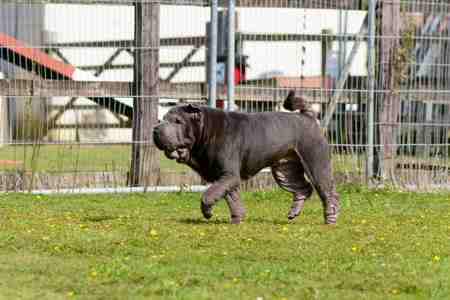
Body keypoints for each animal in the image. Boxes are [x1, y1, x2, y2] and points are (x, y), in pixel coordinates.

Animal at [153, 102, 340, 224]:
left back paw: (330, 218)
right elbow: (232, 198)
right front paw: (238, 218)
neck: (206, 132)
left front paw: (207, 213)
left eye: (177, 121)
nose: (156, 129)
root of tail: (308, 116)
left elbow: (208, 195)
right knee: (304, 188)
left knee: (327, 192)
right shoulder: (226, 177)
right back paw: (293, 212)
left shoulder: (229, 175)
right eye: (163, 119)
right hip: (285, 171)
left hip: (316, 165)